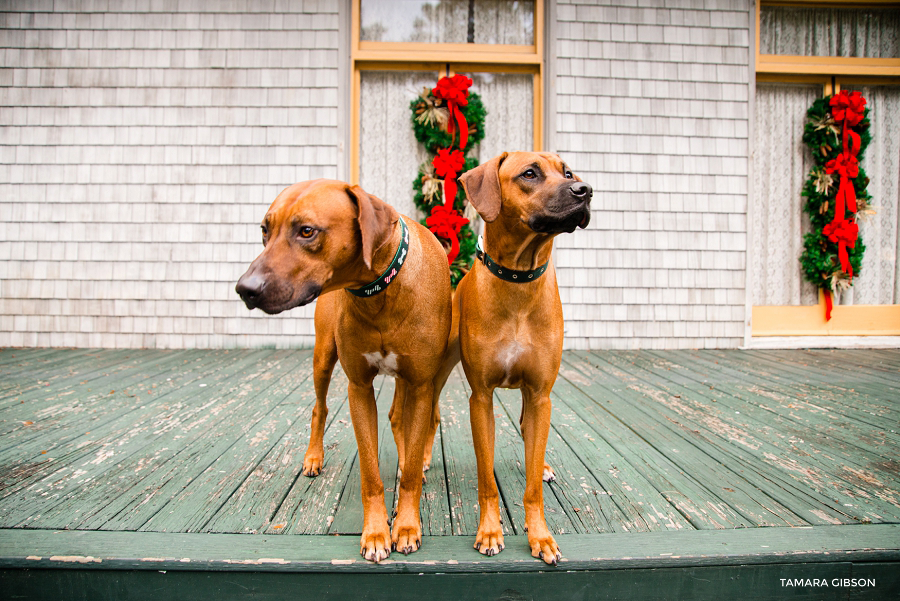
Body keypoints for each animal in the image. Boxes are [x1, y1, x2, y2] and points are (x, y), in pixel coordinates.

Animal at [237, 179, 454, 564]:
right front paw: (376, 532)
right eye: (264, 230)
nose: (244, 289)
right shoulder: (359, 388)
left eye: (307, 231)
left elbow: (413, 465)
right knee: (319, 407)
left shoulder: (420, 384)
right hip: (324, 355)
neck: (379, 290)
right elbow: (369, 472)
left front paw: (406, 525)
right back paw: (313, 457)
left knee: (398, 418)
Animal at [454, 152, 596, 564]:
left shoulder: (539, 394)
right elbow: (486, 479)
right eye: (529, 174)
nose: (585, 190)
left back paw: (544, 464)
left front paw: (541, 536)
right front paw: (489, 530)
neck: (518, 278)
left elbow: (532, 484)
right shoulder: (480, 398)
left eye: (568, 172)